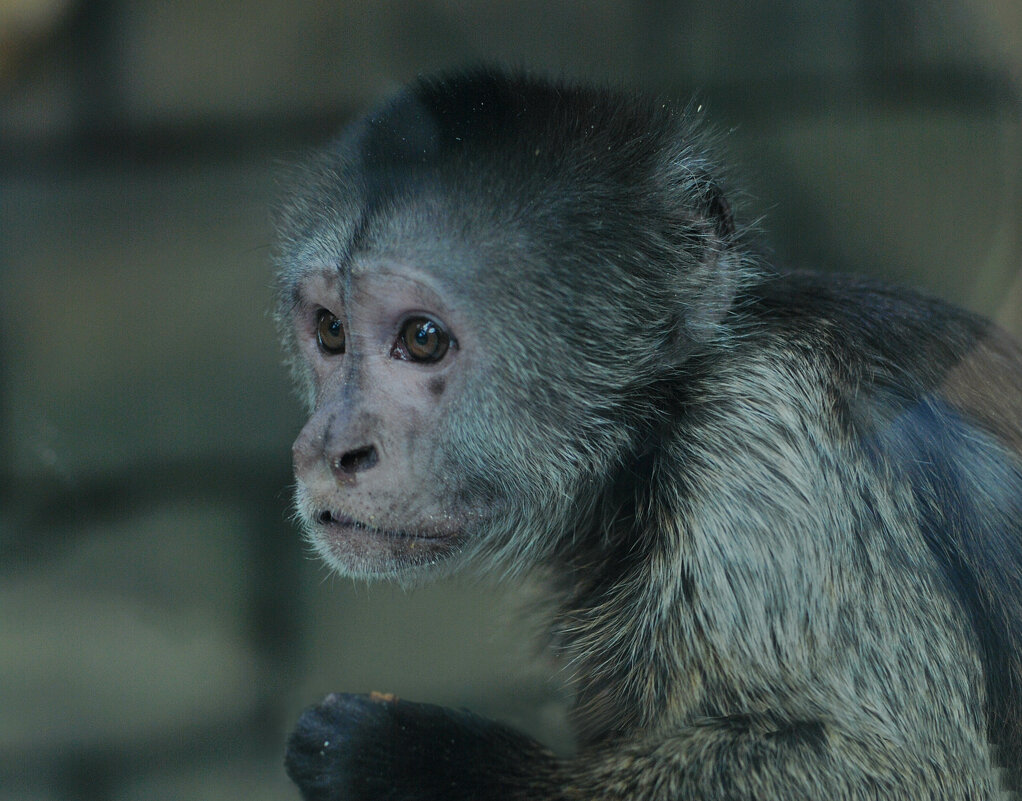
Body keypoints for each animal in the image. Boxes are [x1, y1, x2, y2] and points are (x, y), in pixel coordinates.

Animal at [275, 68, 1021, 801]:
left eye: (423, 338)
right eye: (331, 331)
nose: (324, 450)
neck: (657, 424)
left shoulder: (763, 444)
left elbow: (899, 767)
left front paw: (409, 761)